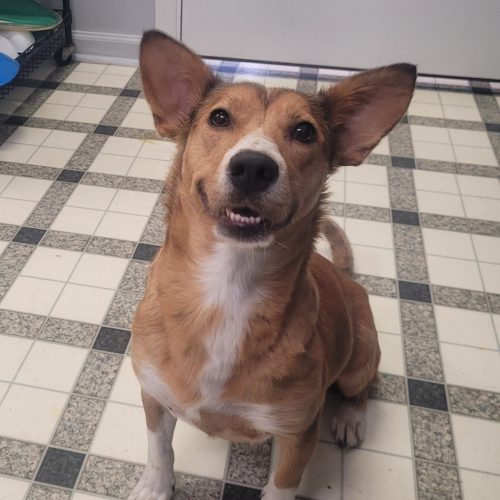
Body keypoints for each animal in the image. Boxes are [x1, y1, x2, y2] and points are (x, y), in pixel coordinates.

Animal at [129, 30, 416, 500]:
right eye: (219, 118)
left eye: (304, 131)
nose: (253, 166)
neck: (227, 290)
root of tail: (343, 275)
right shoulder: (153, 395)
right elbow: (159, 449)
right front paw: (154, 487)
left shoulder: (298, 432)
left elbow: (281, 486)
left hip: (360, 356)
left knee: (362, 387)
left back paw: (350, 418)